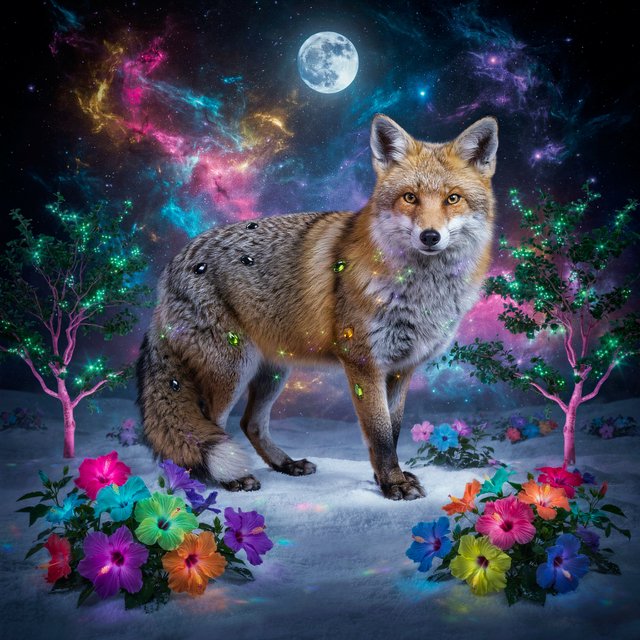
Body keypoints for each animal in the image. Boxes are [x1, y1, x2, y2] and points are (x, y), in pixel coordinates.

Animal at [136, 114, 498, 500]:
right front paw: (392, 483)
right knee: (209, 427)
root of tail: (170, 271)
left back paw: (285, 464)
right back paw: (229, 479)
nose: (430, 236)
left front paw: (387, 478)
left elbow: (394, 430)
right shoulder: (363, 363)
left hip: (272, 372)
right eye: (410, 198)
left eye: (453, 198)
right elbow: (380, 434)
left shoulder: (402, 368)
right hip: (232, 370)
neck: (419, 294)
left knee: (250, 424)